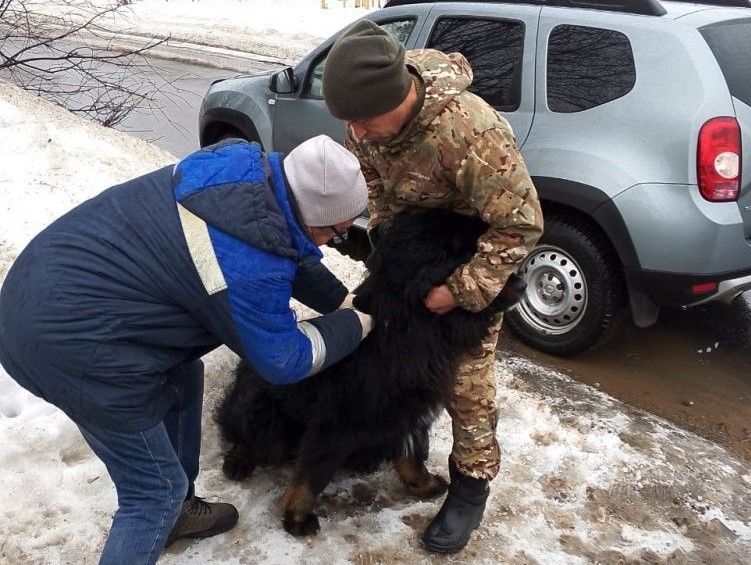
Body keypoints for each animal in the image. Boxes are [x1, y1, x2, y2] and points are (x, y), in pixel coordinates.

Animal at [214, 209, 524, 536]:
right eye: (472, 252)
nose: (522, 280)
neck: (412, 323)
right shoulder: (335, 421)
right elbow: (311, 476)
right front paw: (297, 518)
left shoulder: (406, 410)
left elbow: (411, 454)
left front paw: (424, 485)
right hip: (267, 415)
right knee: (251, 437)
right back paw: (239, 460)